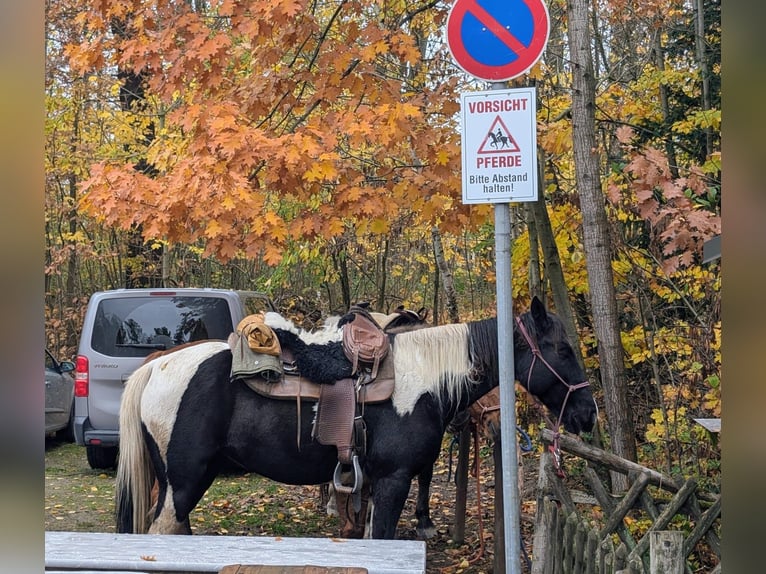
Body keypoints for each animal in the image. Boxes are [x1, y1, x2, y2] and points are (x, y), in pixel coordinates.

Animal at [115, 296, 596, 539]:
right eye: (563, 349)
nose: (588, 414)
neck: (422, 378)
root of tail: (154, 366)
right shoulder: (394, 479)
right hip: (183, 482)